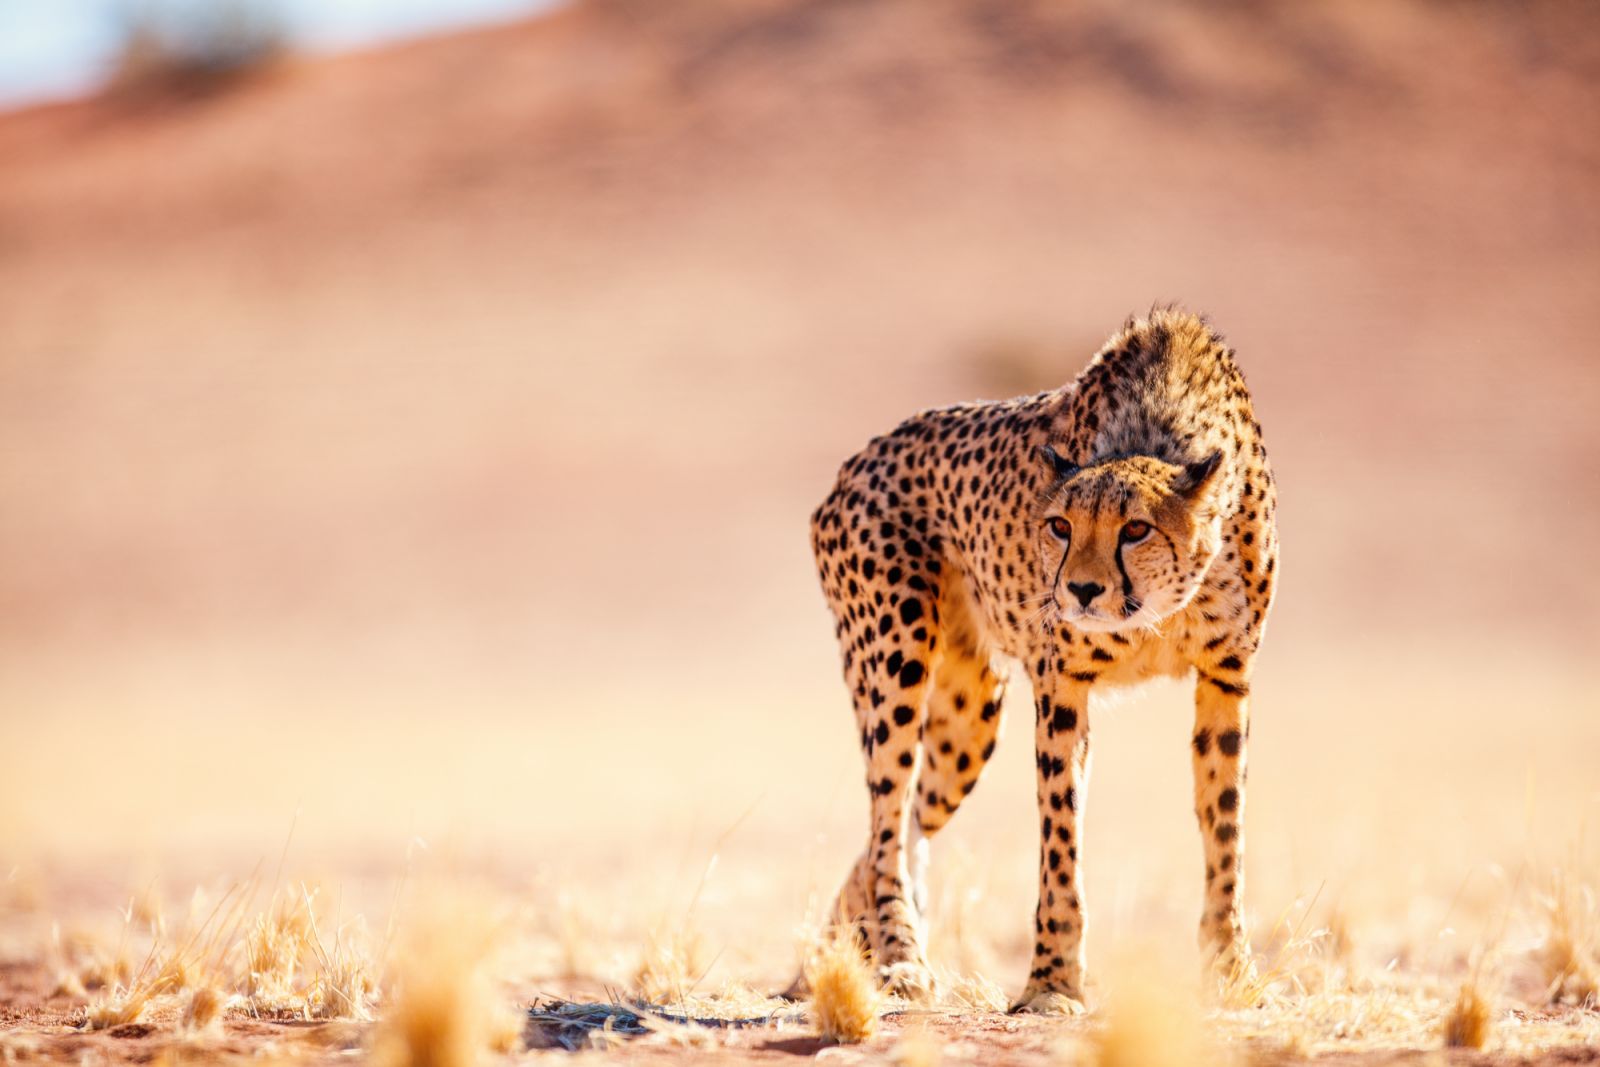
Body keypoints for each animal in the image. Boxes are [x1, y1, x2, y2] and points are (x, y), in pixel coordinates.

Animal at [805, 307, 1278, 1013]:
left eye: (1135, 529)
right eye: (1059, 525)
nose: (1079, 590)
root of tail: (857, 462)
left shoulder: (1227, 677)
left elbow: (1225, 828)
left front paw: (1229, 970)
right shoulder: (1062, 687)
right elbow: (1061, 841)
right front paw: (1053, 984)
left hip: (968, 721)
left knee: (899, 828)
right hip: (895, 664)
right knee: (887, 822)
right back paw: (901, 959)